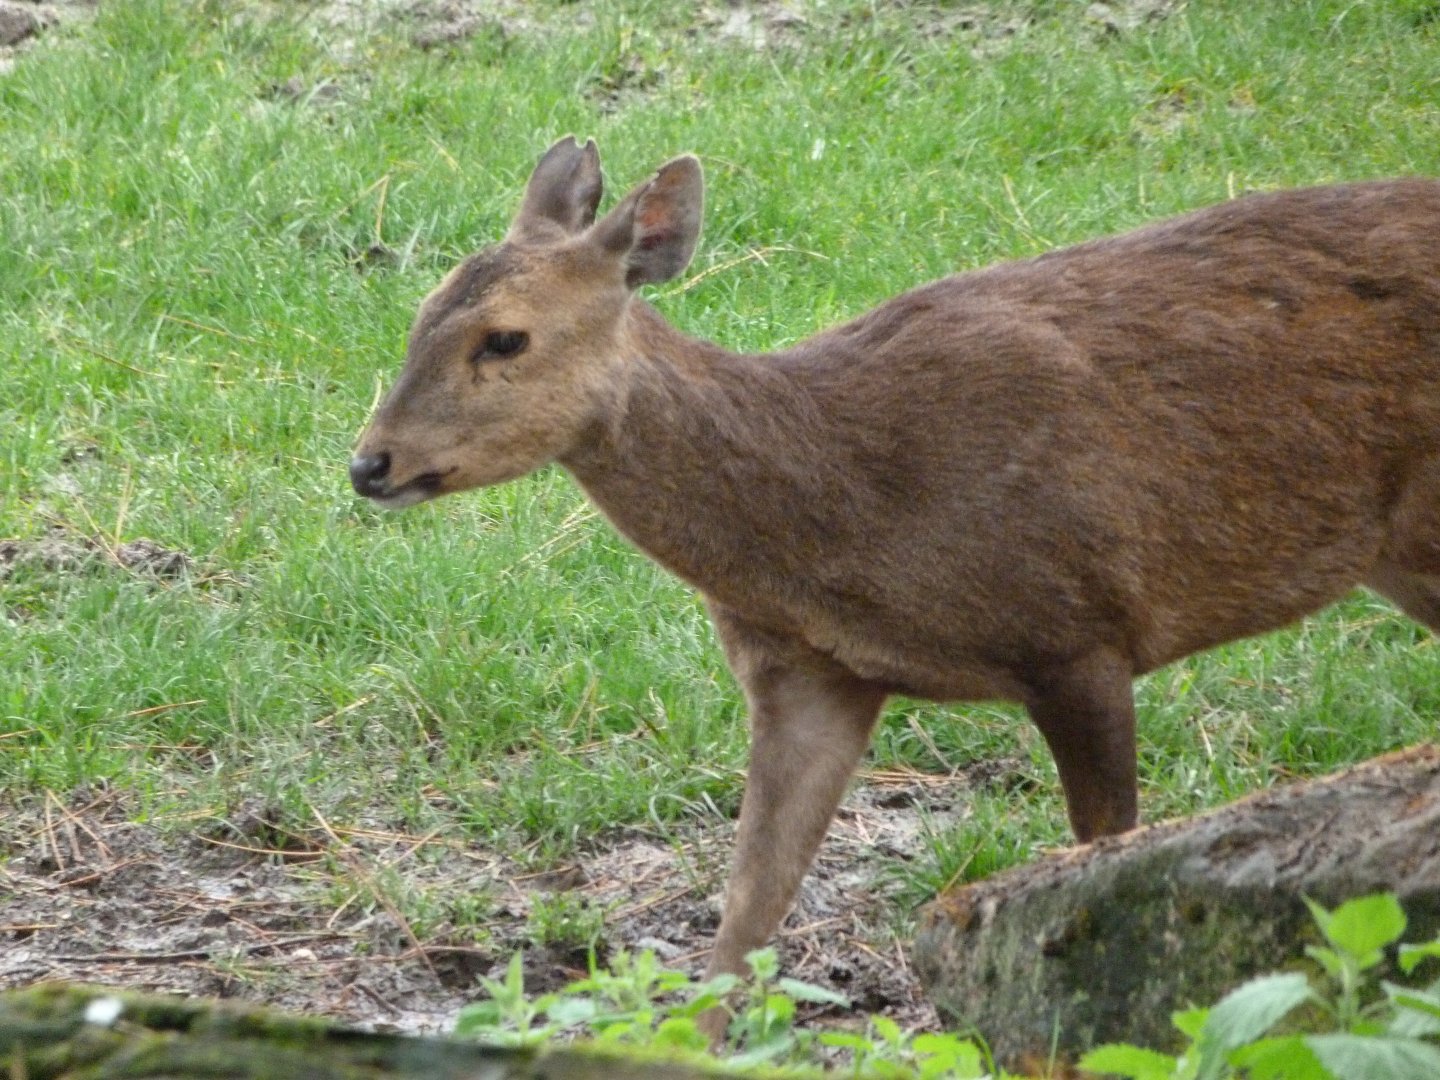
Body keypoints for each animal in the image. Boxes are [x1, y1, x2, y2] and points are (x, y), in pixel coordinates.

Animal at [350, 137, 1440, 1033]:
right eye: (418, 315)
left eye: (505, 338)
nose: (369, 463)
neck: (848, 509)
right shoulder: (808, 673)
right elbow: (744, 915)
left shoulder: (1078, 626)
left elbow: (1102, 855)